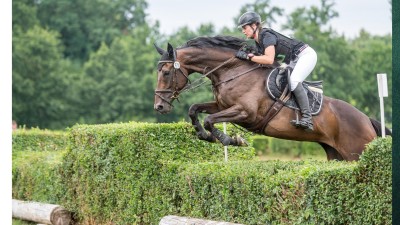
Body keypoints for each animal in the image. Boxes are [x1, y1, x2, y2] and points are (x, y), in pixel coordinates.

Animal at [154, 36, 390, 161]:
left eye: (165, 72)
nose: (159, 106)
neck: (233, 71)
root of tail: (366, 119)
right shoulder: (221, 105)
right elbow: (195, 110)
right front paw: (205, 136)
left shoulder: (245, 112)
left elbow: (209, 120)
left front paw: (232, 140)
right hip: (336, 154)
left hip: (356, 152)